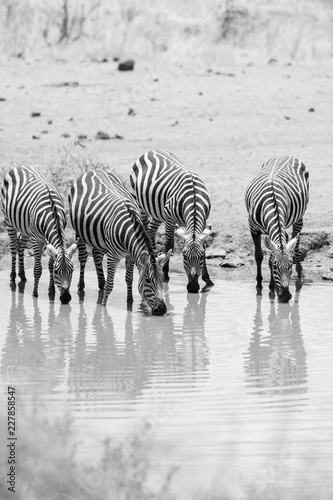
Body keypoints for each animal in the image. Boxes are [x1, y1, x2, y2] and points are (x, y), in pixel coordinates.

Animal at [1, 166, 77, 302]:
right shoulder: (36, 239)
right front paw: (35, 294)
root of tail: (20, 166)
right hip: (9, 221)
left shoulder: (50, 240)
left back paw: (22, 275)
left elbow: (50, 265)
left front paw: (51, 291)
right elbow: (38, 269)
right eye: (57, 272)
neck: (53, 213)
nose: (66, 298)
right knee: (14, 247)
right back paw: (13, 278)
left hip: (25, 227)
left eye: (72, 271)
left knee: (21, 245)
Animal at [68, 170, 170, 314]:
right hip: (79, 231)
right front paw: (103, 307)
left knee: (96, 254)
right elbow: (110, 284)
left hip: (99, 238)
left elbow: (129, 279)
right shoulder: (112, 256)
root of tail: (93, 171)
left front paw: (130, 302)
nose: (162, 309)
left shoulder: (131, 255)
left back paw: (101, 284)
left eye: (162, 279)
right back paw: (81, 287)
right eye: (148, 280)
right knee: (83, 258)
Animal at [128, 148, 211, 292]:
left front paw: (207, 278)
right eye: (184, 256)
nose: (193, 288)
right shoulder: (170, 219)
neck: (194, 198)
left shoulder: (204, 220)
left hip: (157, 212)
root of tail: (151, 151)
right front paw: (165, 274)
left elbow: (204, 246)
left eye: (201, 256)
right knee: (146, 230)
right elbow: (169, 245)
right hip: (139, 204)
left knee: (151, 230)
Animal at [244, 154, 308, 302]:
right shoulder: (253, 228)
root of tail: (285, 155)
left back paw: (299, 269)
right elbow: (259, 256)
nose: (286, 296)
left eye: (289, 266)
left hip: (299, 216)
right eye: (275, 266)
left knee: (297, 239)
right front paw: (260, 284)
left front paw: (272, 286)